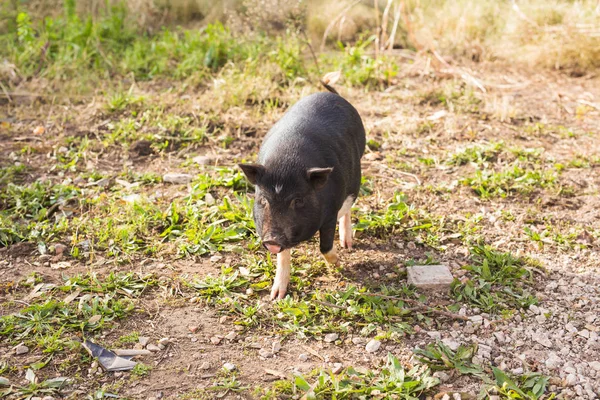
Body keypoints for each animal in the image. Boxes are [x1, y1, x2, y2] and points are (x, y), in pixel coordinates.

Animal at [239, 76, 366, 298]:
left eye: (298, 200)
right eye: (263, 200)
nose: (271, 240)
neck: (286, 162)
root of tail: (333, 95)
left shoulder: (330, 211)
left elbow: (325, 246)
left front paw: (339, 265)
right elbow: (283, 256)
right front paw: (276, 296)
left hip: (355, 176)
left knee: (348, 209)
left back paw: (347, 244)